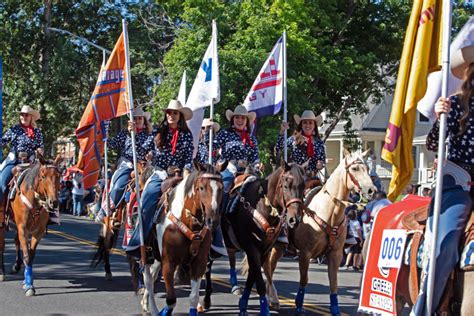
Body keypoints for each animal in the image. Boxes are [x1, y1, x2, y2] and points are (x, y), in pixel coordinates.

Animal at [2, 156, 61, 296]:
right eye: (43, 176)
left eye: (59, 176)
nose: (53, 202)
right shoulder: (23, 228)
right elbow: (27, 256)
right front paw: (29, 286)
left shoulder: (38, 231)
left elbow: (31, 256)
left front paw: (27, 282)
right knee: (2, 245)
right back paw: (2, 273)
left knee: (16, 241)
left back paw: (17, 266)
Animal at [140, 163, 227, 316]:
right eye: (201, 187)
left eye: (221, 188)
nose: (213, 221)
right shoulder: (169, 262)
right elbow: (171, 301)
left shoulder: (199, 262)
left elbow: (193, 298)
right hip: (148, 256)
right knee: (148, 280)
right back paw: (152, 309)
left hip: (157, 258)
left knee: (152, 277)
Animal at [262, 149, 376, 314]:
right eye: (354, 168)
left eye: (367, 168)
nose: (372, 190)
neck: (329, 212)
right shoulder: (305, 253)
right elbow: (304, 279)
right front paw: (299, 305)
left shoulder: (335, 254)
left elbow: (333, 282)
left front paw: (335, 309)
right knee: (268, 267)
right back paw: (271, 298)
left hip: (279, 247)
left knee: (270, 266)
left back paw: (272, 299)